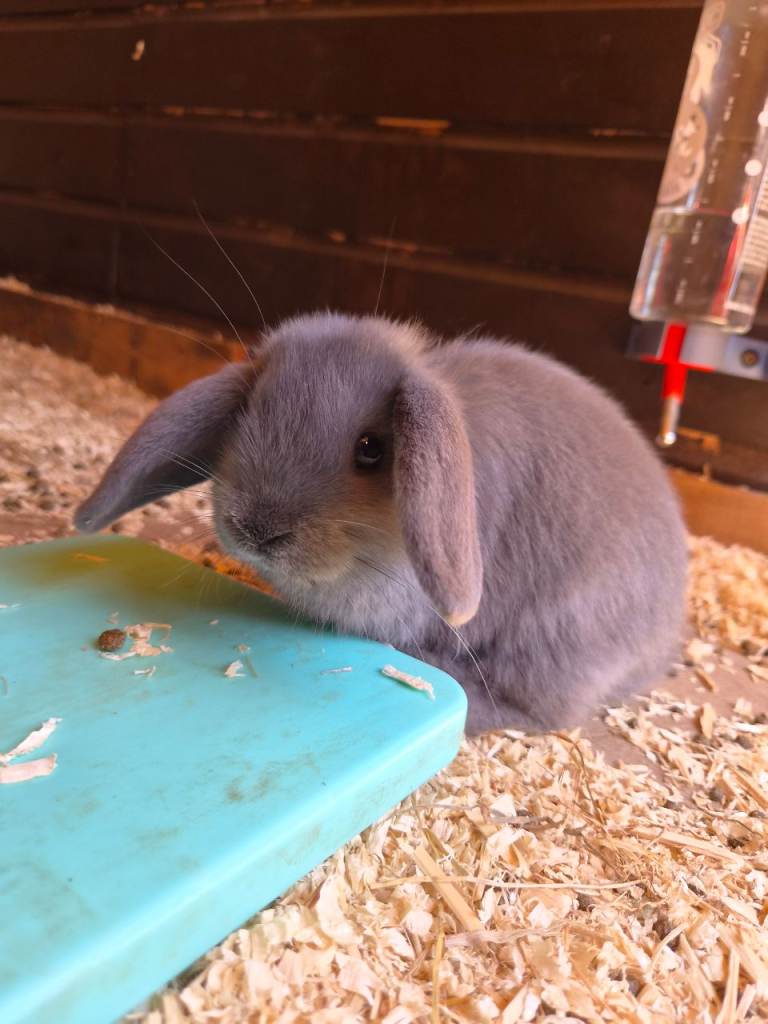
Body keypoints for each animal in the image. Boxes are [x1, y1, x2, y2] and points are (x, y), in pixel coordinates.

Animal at [75, 312, 688, 734]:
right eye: (247, 415)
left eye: (371, 449)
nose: (256, 529)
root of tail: (662, 643)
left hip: (556, 636)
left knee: (537, 710)